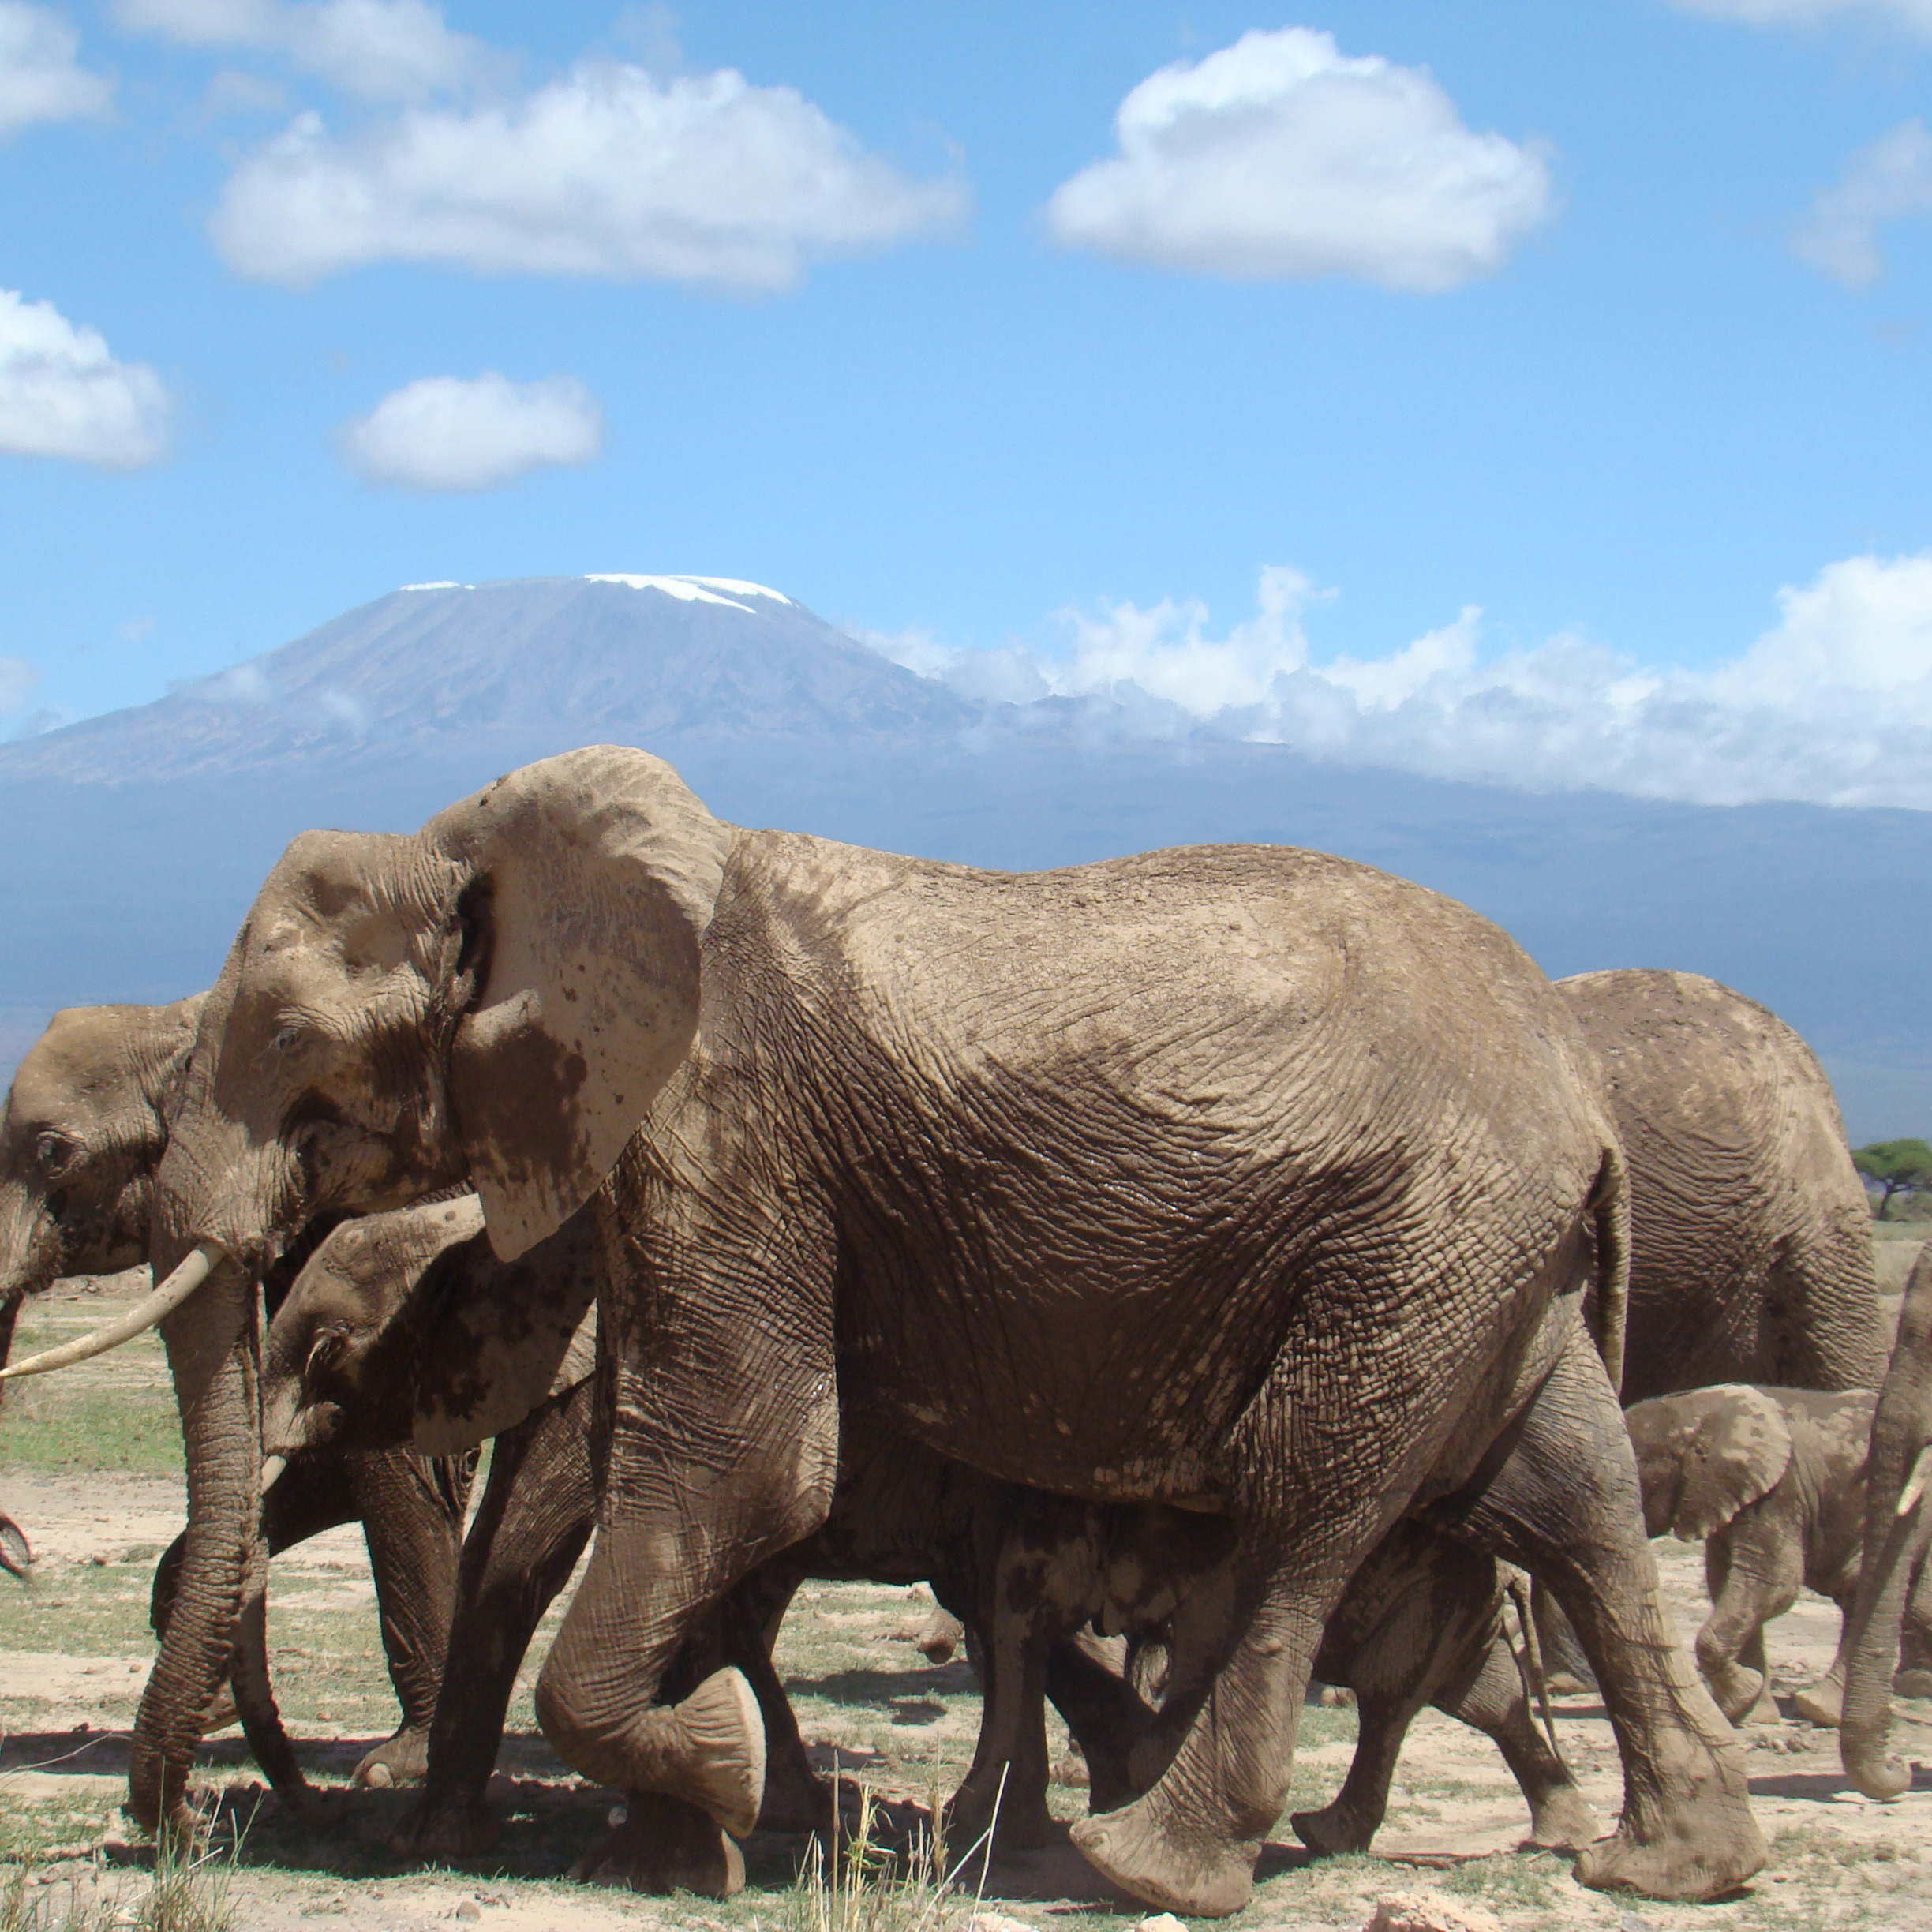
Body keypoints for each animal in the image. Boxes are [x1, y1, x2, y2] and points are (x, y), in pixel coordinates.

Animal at [0, 1004, 471, 1784]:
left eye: (53, 1153)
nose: (20, 1554)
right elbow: (313, 1457)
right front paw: (216, 1704)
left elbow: (394, 1462)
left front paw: (398, 1765)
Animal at [1623, 1391, 1924, 1723]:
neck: (1696, 1409)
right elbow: (1725, 1584)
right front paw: (1751, 1713)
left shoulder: (1779, 1492)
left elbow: (1773, 1584)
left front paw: (1742, 1698)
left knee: (1857, 1586)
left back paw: (1818, 1708)